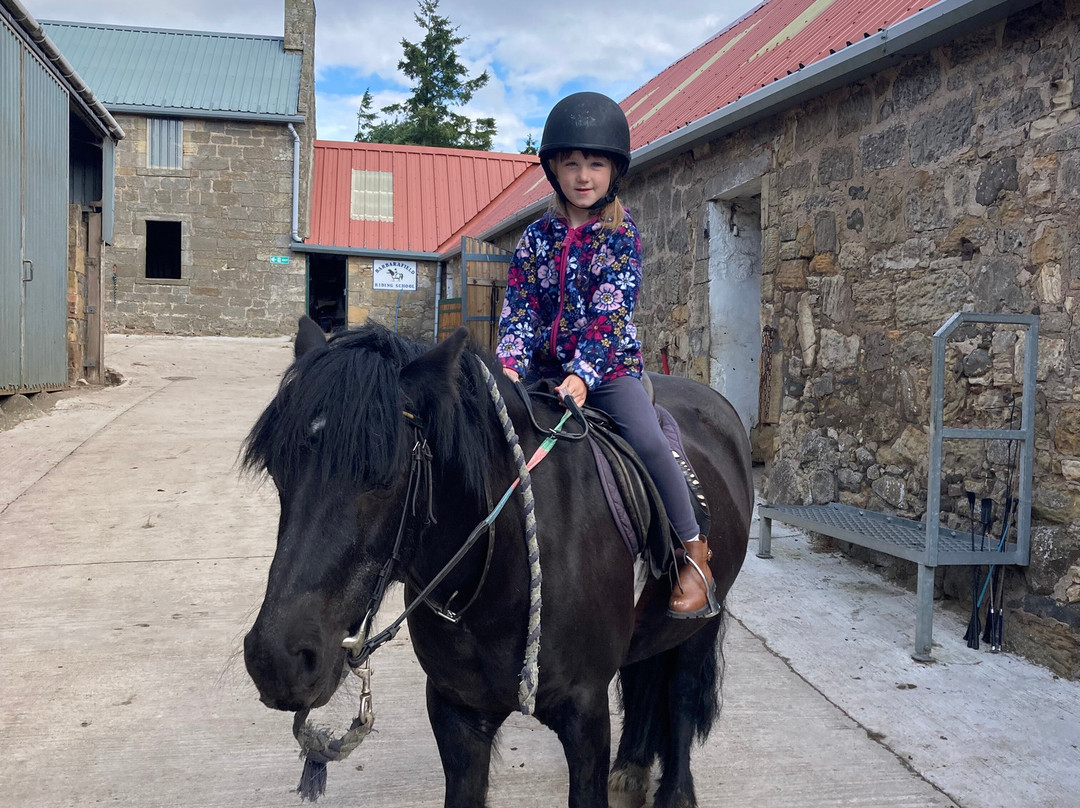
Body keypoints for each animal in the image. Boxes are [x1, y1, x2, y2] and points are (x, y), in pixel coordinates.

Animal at [244, 319, 751, 803]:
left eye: (385, 477)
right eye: (277, 469)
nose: (276, 660)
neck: (497, 573)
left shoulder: (585, 712)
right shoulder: (457, 712)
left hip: (700, 622)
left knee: (681, 693)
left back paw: (675, 792)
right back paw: (630, 770)